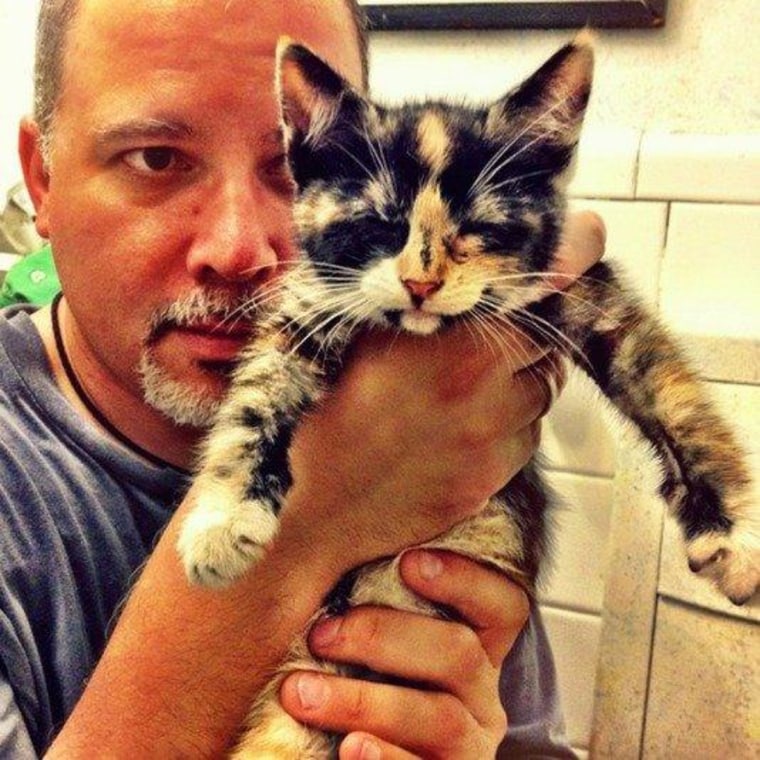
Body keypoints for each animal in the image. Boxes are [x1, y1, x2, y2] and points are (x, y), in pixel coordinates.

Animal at [177, 32, 756, 756]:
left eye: (479, 227)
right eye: (380, 223)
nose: (421, 284)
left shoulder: (581, 290)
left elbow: (666, 384)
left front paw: (732, 538)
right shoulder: (306, 304)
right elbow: (256, 392)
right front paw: (222, 520)